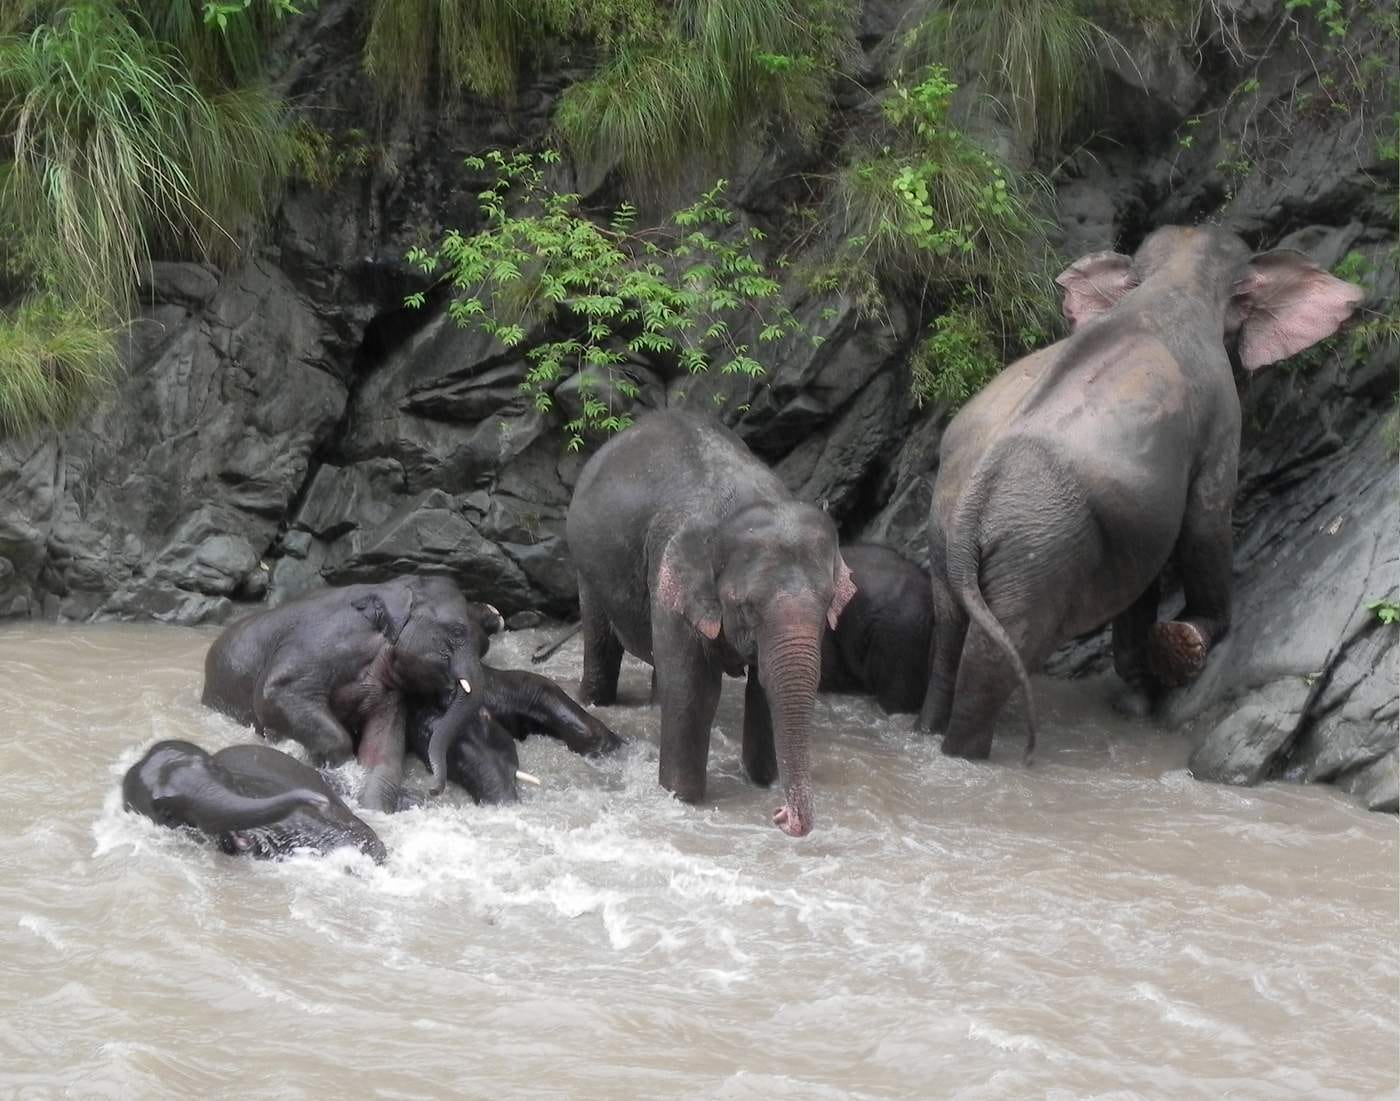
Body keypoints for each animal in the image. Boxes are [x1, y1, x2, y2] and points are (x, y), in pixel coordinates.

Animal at [566, 410, 856, 838]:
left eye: (826, 603)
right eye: (746, 606)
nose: (780, 815)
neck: (747, 505)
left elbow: (762, 688)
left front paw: (759, 781)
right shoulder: (670, 576)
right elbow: (694, 688)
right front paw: (681, 798)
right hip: (586, 567)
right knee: (600, 637)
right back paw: (592, 700)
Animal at [916, 224, 1364, 759]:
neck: (1172, 280)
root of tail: (970, 509)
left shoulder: (1131, 512)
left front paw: (1137, 697)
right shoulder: (1220, 415)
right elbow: (1205, 522)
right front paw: (1185, 644)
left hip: (951, 537)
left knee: (948, 638)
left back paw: (928, 730)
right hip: (1038, 547)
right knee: (1002, 652)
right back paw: (971, 754)